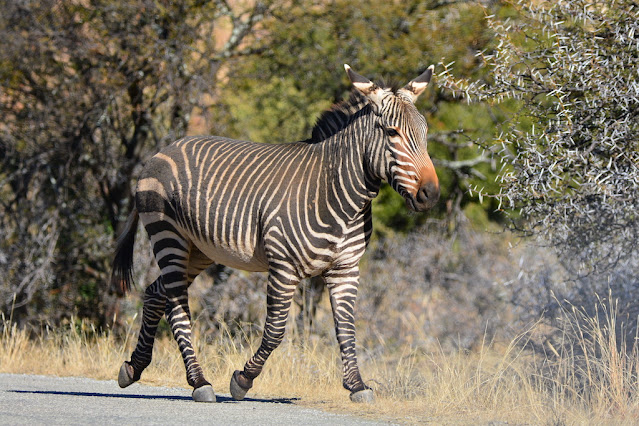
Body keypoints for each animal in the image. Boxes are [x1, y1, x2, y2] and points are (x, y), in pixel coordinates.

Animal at [111, 65, 440, 404]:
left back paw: (133, 368)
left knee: (155, 293)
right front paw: (242, 380)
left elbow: (346, 329)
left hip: (199, 250)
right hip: (168, 236)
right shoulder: (284, 266)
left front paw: (357, 386)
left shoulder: (346, 269)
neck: (337, 194)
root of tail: (164, 149)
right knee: (176, 305)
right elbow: (276, 330)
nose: (431, 194)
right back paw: (199, 382)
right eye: (392, 133)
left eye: (425, 132)